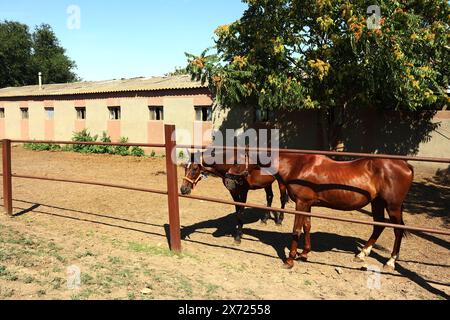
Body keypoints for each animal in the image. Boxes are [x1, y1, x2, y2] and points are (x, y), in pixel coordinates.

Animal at [229, 153, 414, 270]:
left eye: (239, 160)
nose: (229, 177)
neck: (297, 167)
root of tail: (406, 165)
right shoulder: (308, 205)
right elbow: (307, 227)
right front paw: (304, 253)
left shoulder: (301, 204)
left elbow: (296, 230)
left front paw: (290, 260)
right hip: (377, 203)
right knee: (378, 226)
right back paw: (361, 254)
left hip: (392, 206)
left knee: (398, 230)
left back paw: (390, 262)